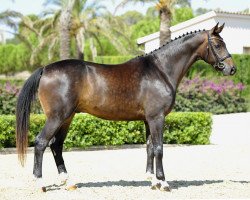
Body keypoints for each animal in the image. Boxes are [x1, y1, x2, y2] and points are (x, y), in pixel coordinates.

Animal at [16, 23, 236, 192]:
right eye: (218, 44)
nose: (232, 68)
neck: (161, 70)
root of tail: (45, 69)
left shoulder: (148, 119)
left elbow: (149, 148)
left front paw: (152, 181)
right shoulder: (157, 118)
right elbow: (159, 148)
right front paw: (163, 183)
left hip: (67, 118)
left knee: (56, 145)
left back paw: (68, 182)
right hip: (57, 117)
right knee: (41, 143)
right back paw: (40, 184)